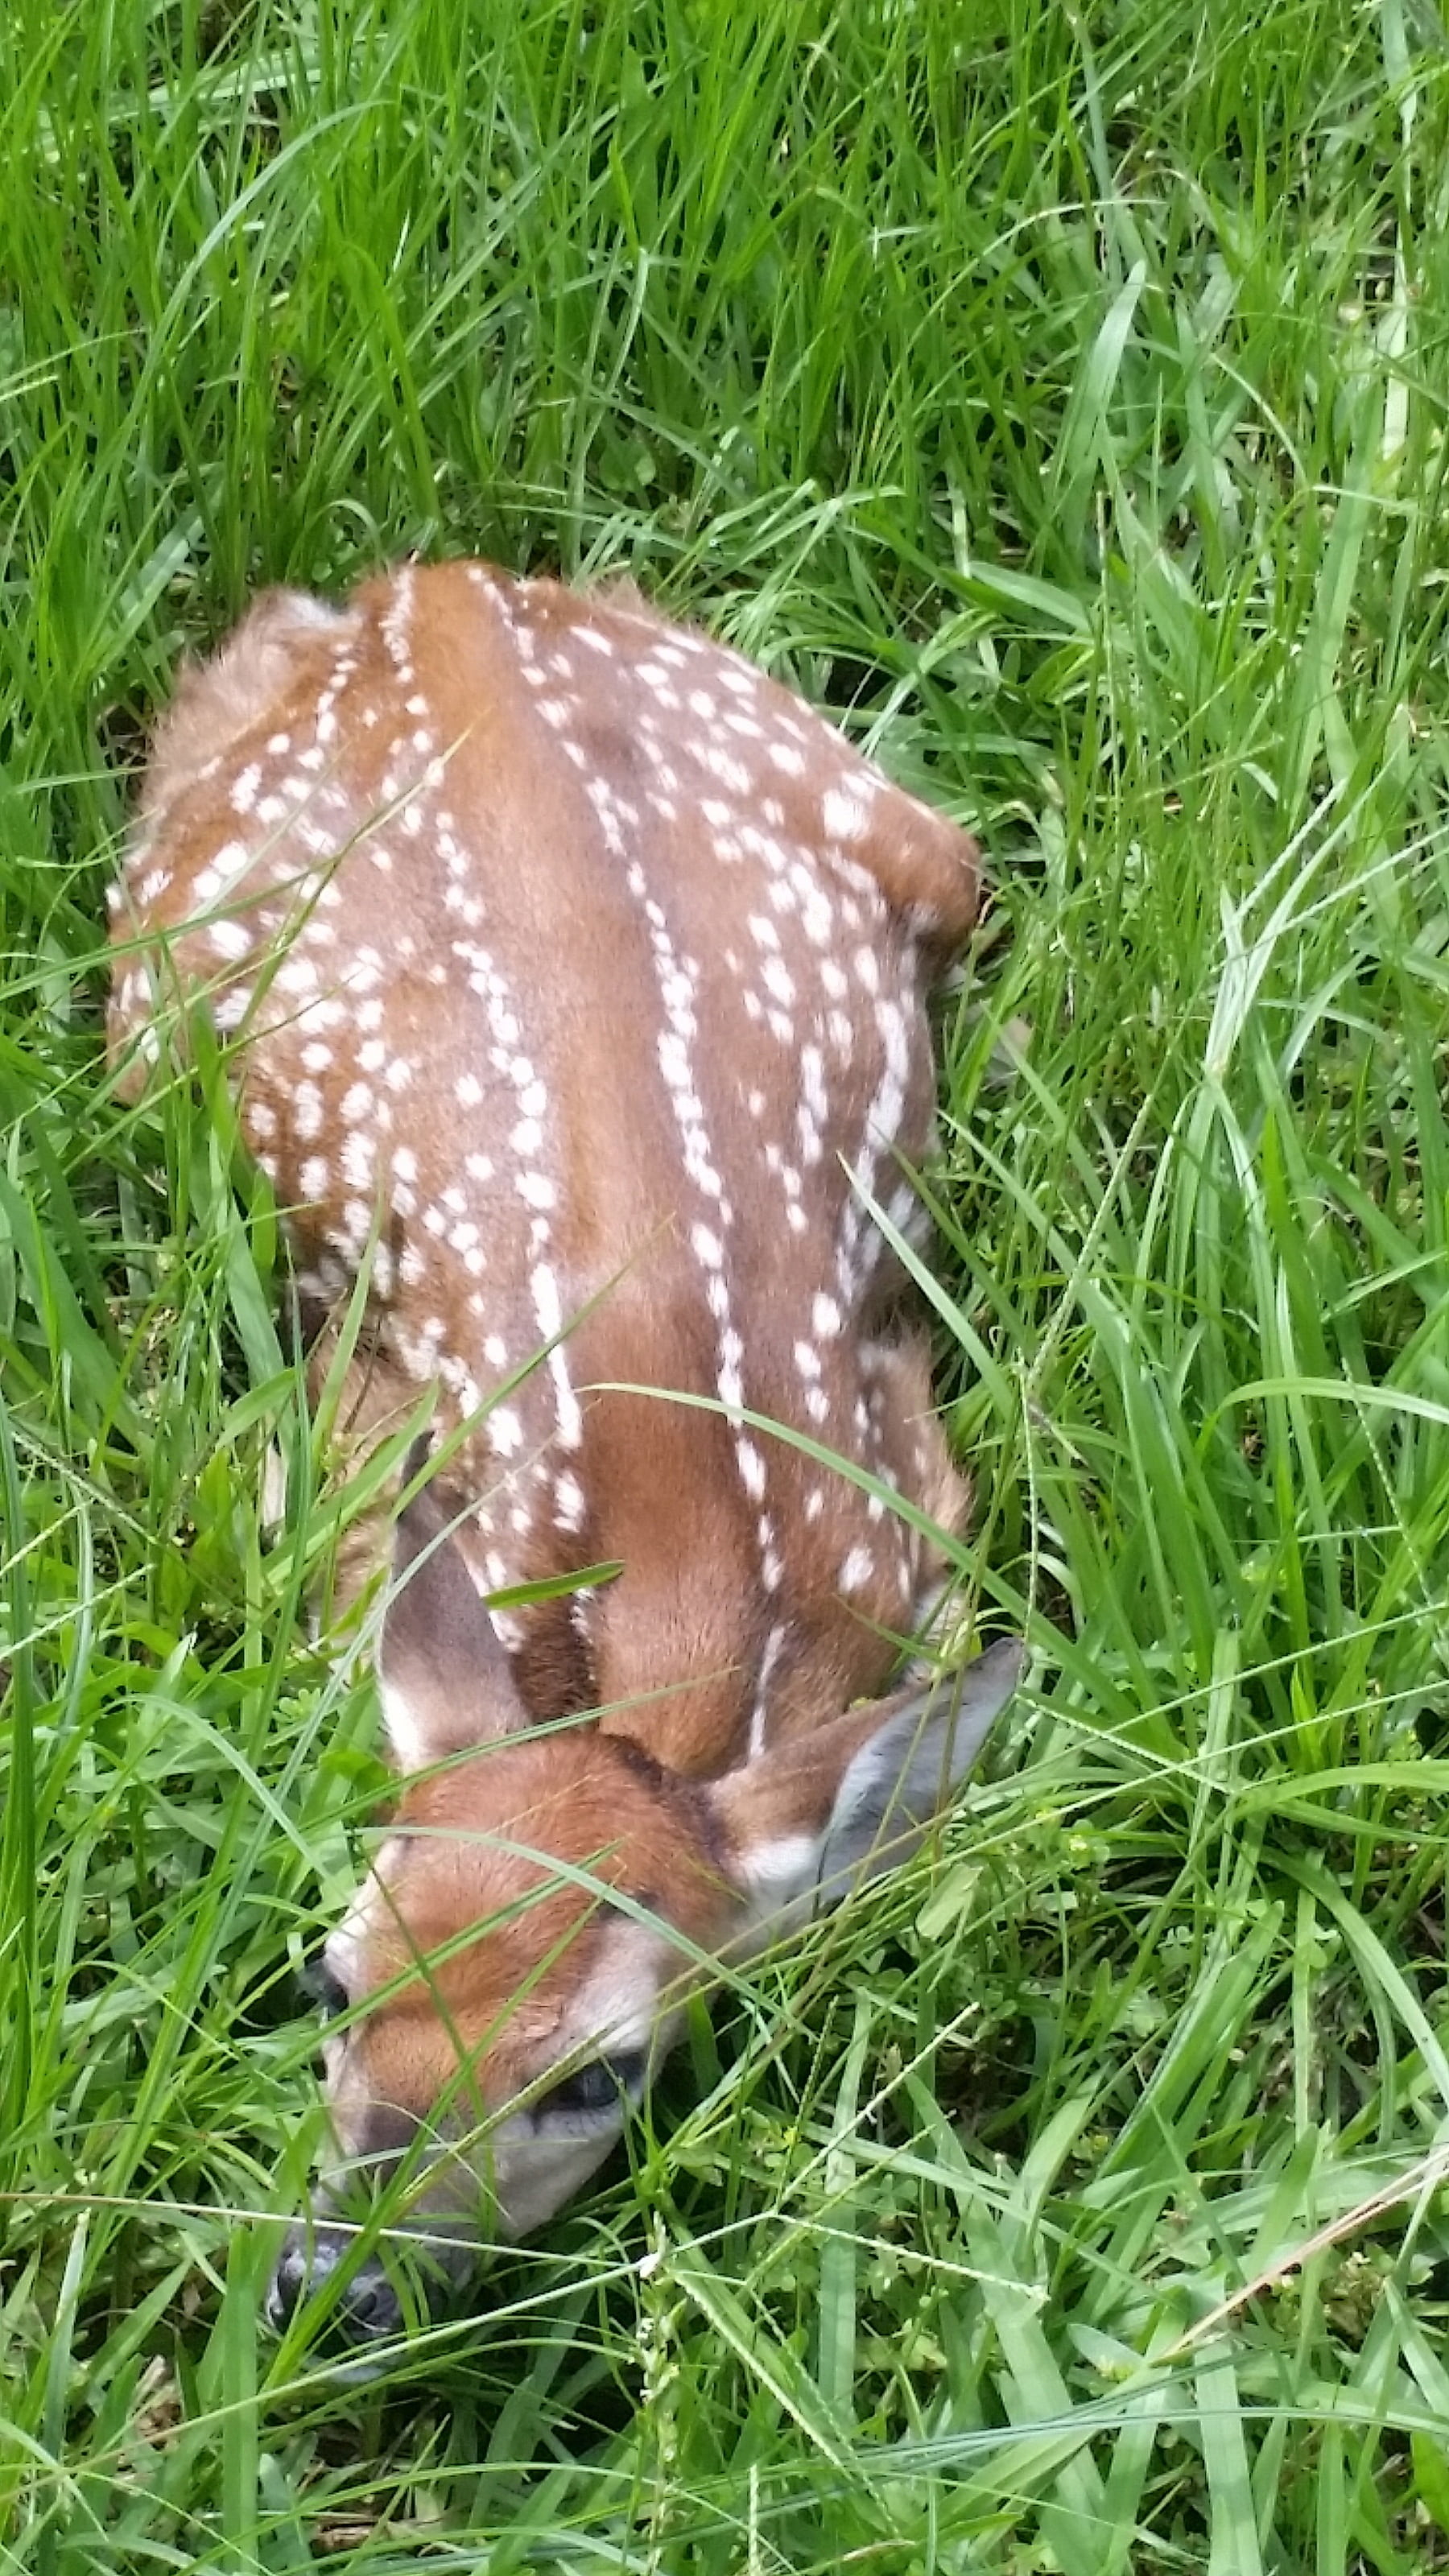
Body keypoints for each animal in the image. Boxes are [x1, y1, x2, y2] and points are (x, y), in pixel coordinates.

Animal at [106, 557, 1023, 2355]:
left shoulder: (915, 1490)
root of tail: (434, 590)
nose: (337, 2284)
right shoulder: (351, 1454)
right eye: (330, 1979)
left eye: (600, 2077)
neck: (695, 1580)